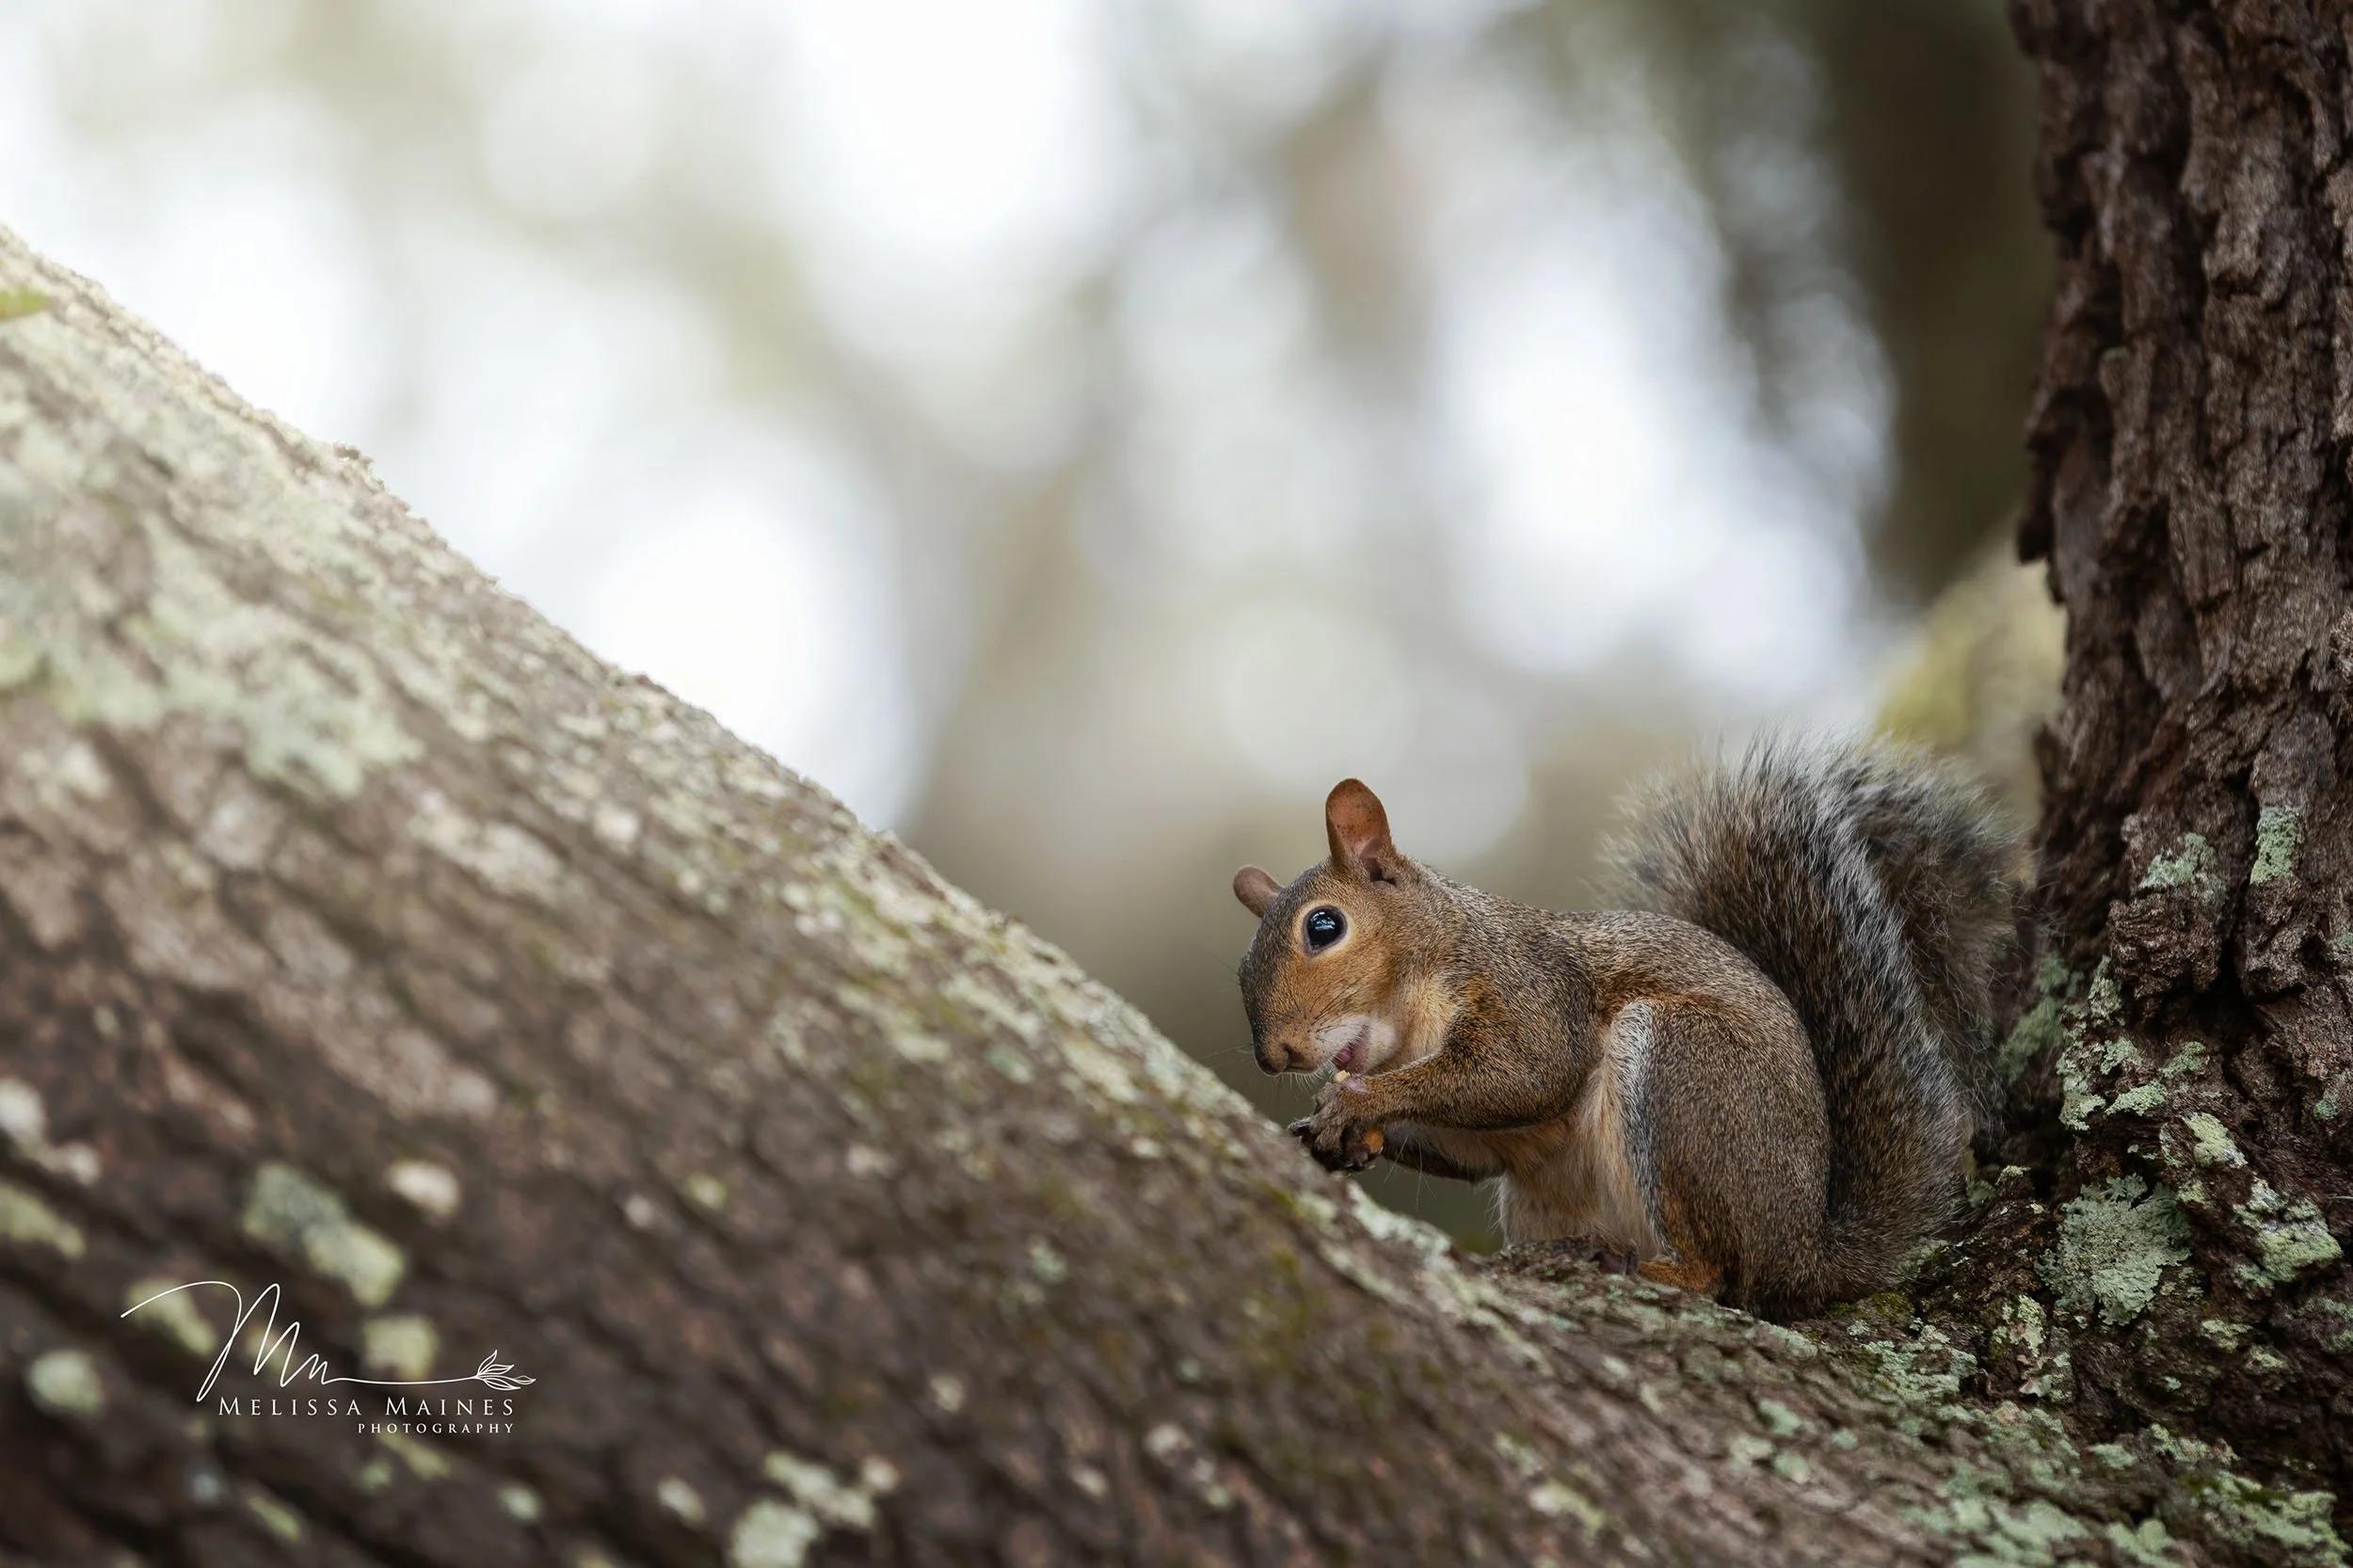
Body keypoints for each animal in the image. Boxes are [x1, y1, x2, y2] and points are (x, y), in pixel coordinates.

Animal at [1230, 739, 2019, 1318]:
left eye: (1324, 927)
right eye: (1241, 966)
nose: (1275, 1056)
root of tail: (1806, 1251)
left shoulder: (1532, 992)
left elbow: (1531, 1072)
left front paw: (1356, 1104)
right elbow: (1472, 1154)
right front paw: (1334, 1134)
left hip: (1686, 1076)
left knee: (1726, 1279)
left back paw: (1652, 1269)